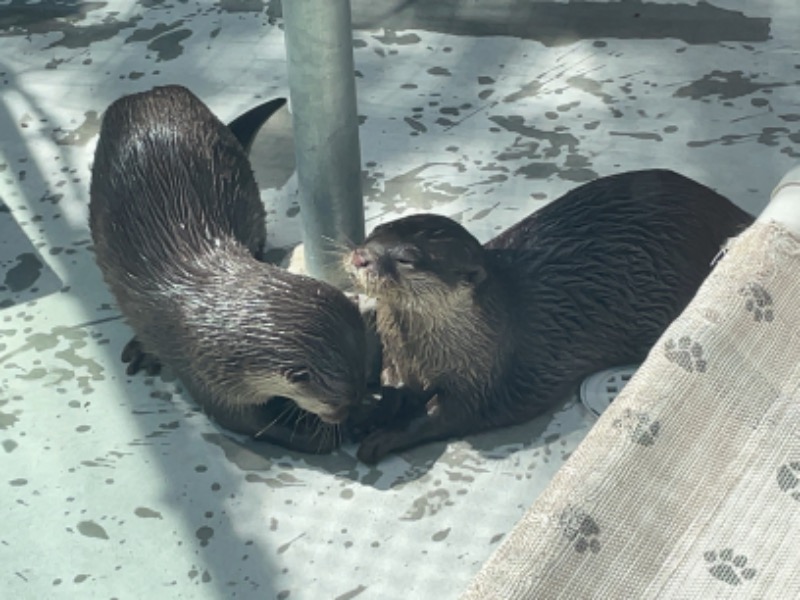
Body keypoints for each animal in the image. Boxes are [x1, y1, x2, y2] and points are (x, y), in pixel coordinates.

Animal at [92, 85, 368, 454]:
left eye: (364, 383)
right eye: (340, 402)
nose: (352, 411)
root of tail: (149, 92)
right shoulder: (207, 378)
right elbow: (253, 425)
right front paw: (329, 434)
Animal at [346, 169, 752, 464]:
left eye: (406, 258)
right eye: (373, 232)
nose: (359, 256)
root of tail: (727, 209)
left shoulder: (486, 379)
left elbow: (443, 415)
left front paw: (386, 435)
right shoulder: (399, 359)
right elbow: (394, 386)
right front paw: (372, 411)